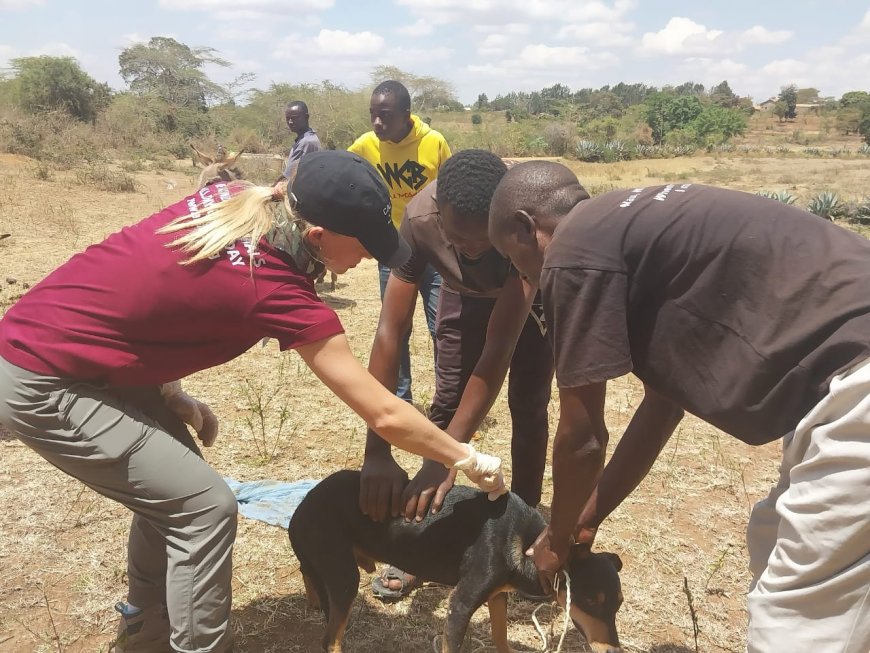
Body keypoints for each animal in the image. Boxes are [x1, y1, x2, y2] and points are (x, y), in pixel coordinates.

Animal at [290, 472, 624, 652]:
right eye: (590, 601)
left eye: (619, 603)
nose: (613, 649)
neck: (527, 541)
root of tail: (303, 506)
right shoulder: (460, 603)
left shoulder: (497, 596)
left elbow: (500, 636)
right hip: (345, 577)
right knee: (330, 640)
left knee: (307, 569)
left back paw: (315, 599)